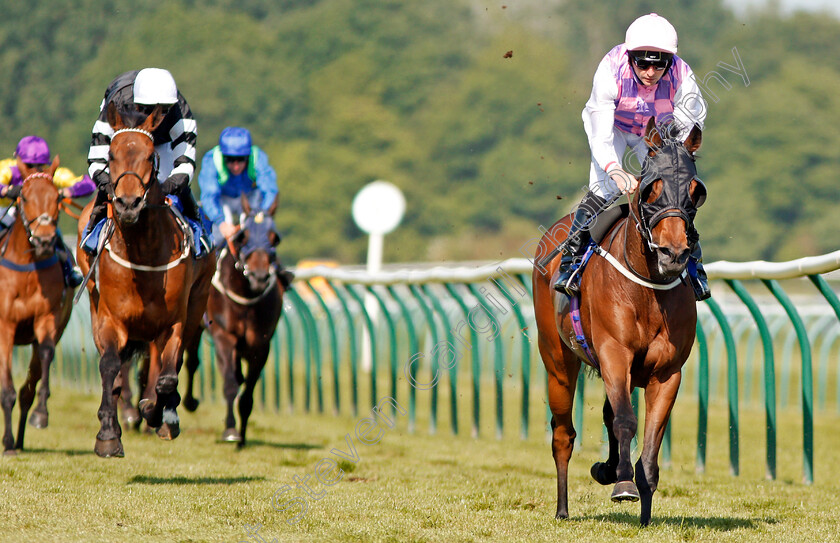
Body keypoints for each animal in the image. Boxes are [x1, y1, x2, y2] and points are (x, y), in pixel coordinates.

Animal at [0, 158, 74, 454]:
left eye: (57, 198)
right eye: (25, 197)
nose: (44, 241)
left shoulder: (47, 319)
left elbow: (45, 354)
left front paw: (41, 414)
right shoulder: (5, 326)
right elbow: (6, 389)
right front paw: (7, 442)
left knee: (27, 390)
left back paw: (20, 439)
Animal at [75, 103, 215, 460]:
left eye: (150, 155)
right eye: (111, 154)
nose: (127, 205)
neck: (144, 255)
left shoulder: (173, 322)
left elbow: (166, 376)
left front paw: (156, 410)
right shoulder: (111, 319)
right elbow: (110, 366)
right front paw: (108, 435)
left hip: (196, 304)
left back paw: (165, 415)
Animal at [536, 120, 704, 528]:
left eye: (696, 191)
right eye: (650, 188)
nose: (673, 253)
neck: (648, 288)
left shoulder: (667, 372)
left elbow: (650, 435)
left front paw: (643, 505)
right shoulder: (614, 353)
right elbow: (626, 421)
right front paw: (624, 484)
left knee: (609, 412)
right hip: (558, 363)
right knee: (563, 435)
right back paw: (563, 508)